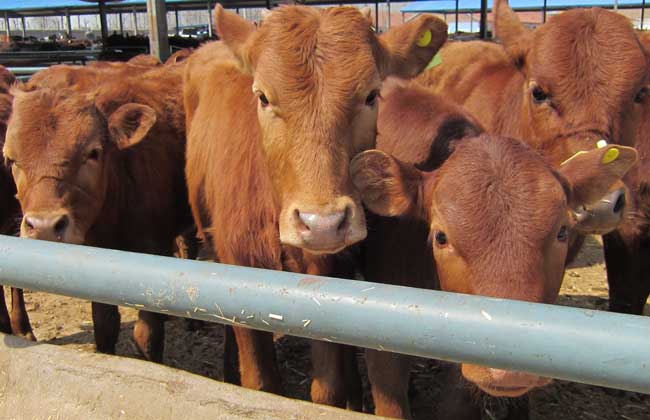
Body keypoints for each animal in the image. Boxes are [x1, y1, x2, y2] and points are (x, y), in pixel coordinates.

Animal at [3, 64, 191, 362]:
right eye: (11, 159)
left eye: (93, 152)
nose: (44, 226)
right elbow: (104, 326)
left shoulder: (153, 254)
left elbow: (147, 335)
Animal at [182, 4, 446, 414]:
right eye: (263, 97)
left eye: (372, 95)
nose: (322, 224)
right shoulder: (237, 262)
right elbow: (260, 381)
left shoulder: (325, 278)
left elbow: (326, 388)